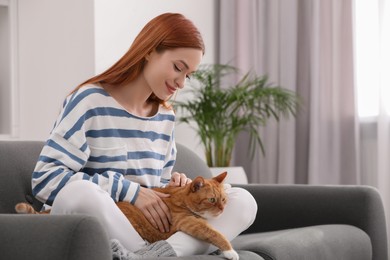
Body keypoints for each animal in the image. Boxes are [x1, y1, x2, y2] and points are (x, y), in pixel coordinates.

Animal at [15, 172, 239, 258]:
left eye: (224, 200)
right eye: (212, 200)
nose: (222, 209)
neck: (181, 199)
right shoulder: (190, 224)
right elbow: (215, 233)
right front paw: (230, 251)